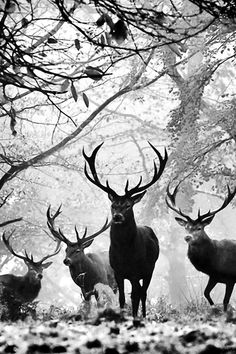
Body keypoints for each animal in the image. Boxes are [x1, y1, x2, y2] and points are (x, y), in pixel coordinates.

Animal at [83, 142, 168, 316]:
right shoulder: (118, 272)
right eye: (113, 205)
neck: (124, 253)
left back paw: (143, 315)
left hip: (150, 268)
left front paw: (135, 317)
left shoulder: (136, 271)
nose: (117, 216)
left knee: (143, 293)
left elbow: (134, 297)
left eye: (128, 205)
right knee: (139, 292)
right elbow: (122, 298)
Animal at [166, 184, 236, 312]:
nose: (187, 237)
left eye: (199, 228)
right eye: (186, 227)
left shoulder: (231, 278)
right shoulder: (214, 276)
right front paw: (214, 307)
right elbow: (206, 293)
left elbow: (225, 301)